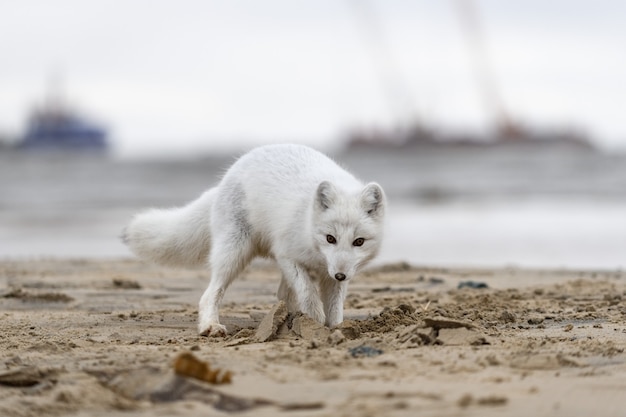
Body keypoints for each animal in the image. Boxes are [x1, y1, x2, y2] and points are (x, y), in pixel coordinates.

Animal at [121, 143, 382, 334]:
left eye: (359, 242)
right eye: (330, 238)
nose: (340, 275)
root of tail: (222, 182)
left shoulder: (331, 273)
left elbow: (334, 307)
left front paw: (336, 327)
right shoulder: (287, 255)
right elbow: (308, 294)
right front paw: (315, 323)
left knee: (282, 294)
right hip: (234, 253)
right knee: (209, 295)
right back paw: (210, 326)